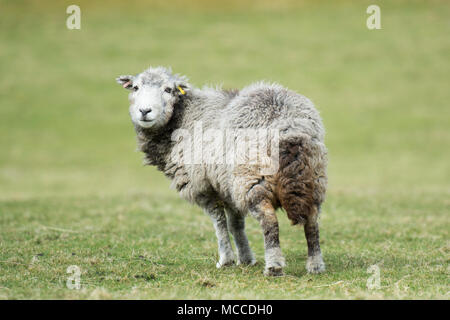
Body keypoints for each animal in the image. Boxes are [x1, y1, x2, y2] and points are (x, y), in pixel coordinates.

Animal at [116, 65, 326, 276]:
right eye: (135, 87)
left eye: (168, 89)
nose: (144, 111)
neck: (182, 116)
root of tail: (288, 126)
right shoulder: (227, 186)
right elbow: (236, 224)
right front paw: (246, 258)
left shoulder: (204, 185)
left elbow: (219, 222)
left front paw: (226, 260)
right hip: (313, 177)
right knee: (312, 222)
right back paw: (315, 265)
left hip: (252, 178)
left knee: (269, 221)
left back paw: (274, 266)